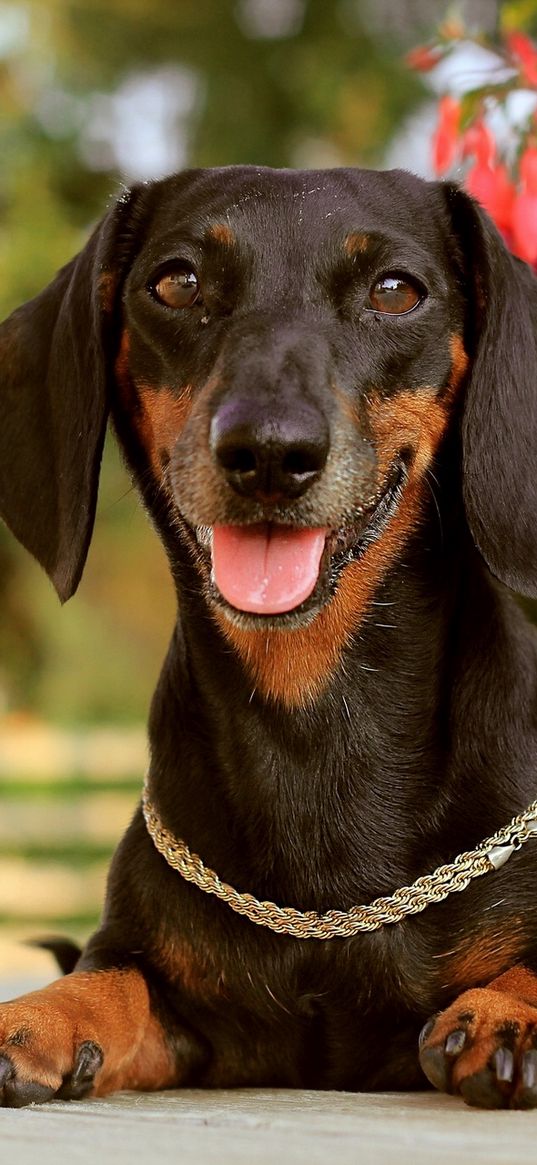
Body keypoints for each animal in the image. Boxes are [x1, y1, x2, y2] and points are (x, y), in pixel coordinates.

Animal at [1, 166, 535, 1109]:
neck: (310, 723)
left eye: (395, 290)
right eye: (175, 281)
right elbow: (112, 975)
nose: (269, 454)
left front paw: (510, 1010)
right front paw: (44, 1013)